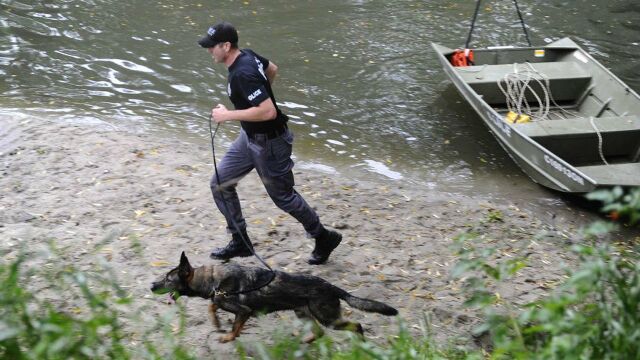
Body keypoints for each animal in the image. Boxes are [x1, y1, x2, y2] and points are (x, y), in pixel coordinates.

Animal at [152, 252, 398, 342]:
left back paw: (362, 344)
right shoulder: (221, 299)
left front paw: (228, 336)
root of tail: (333, 287)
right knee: (319, 332)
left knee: (356, 325)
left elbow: (235, 326)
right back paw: (304, 342)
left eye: (167, 278)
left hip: (327, 318)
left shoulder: (244, 311)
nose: (151, 285)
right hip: (303, 313)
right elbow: (213, 307)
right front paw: (217, 323)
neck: (213, 281)